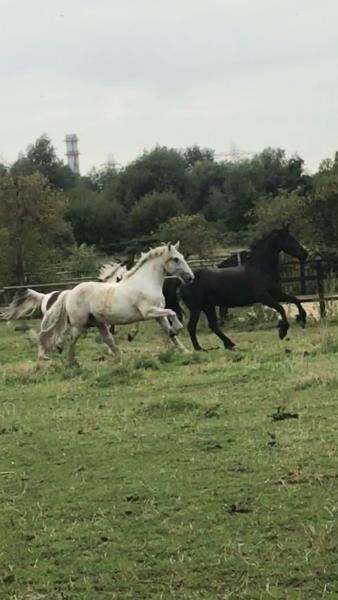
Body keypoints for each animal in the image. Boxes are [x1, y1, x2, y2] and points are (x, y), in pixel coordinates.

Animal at [37, 240, 193, 364]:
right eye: (176, 259)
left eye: (182, 257)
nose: (190, 277)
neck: (146, 282)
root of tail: (70, 293)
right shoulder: (149, 311)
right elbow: (172, 313)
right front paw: (177, 329)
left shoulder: (159, 314)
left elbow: (169, 329)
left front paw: (184, 350)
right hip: (79, 324)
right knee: (71, 339)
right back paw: (71, 362)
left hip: (98, 323)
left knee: (107, 340)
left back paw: (120, 358)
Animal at [180, 226, 308, 352]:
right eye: (290, 239)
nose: (305, 253)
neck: (261, 269)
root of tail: (184, 282)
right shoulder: (263, 297)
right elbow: (281, 308)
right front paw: (282, 332)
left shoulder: (276, 293)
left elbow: (295, 300)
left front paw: (302, 320)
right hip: (196, 308)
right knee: (192, 327)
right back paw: (199, 349)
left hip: (208, 306)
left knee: (213, 326)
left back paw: (230, 344)